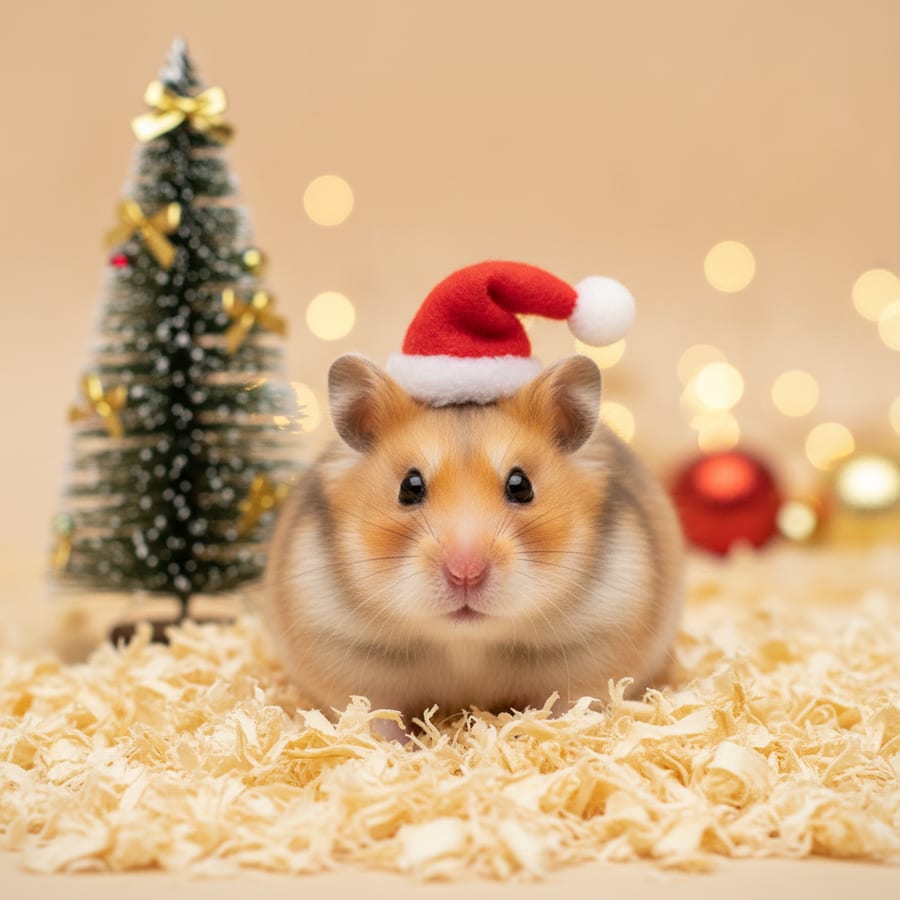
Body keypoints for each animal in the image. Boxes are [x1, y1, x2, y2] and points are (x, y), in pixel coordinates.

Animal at [263, 353, 683, 739]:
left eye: (521, 485)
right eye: (409, 487)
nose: (465, 572)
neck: (466, 644)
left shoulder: (595, 647)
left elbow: (564, 713)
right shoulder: (345, 656)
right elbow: (374, 722)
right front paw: (399, 750)